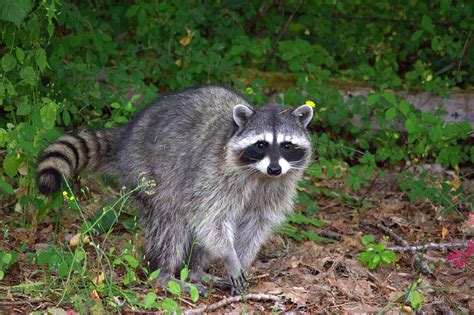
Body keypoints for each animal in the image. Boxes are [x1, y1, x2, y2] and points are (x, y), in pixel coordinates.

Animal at [36, 86, 314, 294]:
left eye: (287, 145)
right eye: (261, 144)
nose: (275, 168)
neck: (259, 174)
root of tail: (128, 133)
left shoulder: (278, 186)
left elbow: (256, 223)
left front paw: (242, 258)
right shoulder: (214, 173)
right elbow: (211, 219)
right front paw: (230, 256)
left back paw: (196, 270)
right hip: (147, 172)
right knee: (171, 225)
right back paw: (164, 274)